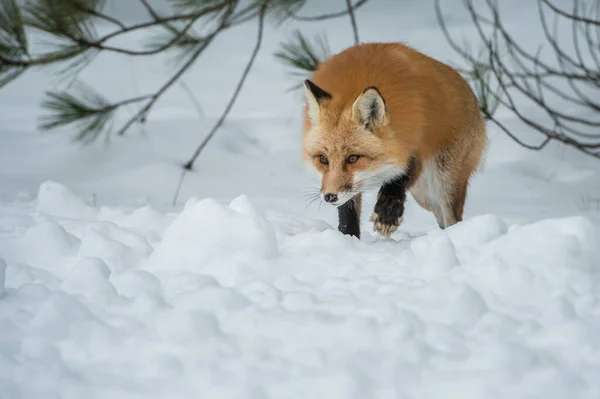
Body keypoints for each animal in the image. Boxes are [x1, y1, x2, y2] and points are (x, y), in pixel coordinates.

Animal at [304, 42, 488, 239]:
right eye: (323, 159)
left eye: (353, 158)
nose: (330, 196)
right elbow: (347, 212)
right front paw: (349, 238)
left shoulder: (413, 145)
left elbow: (399, 179)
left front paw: (387, 214)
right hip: (425, 196)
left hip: (443, 182)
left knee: (452, 218)